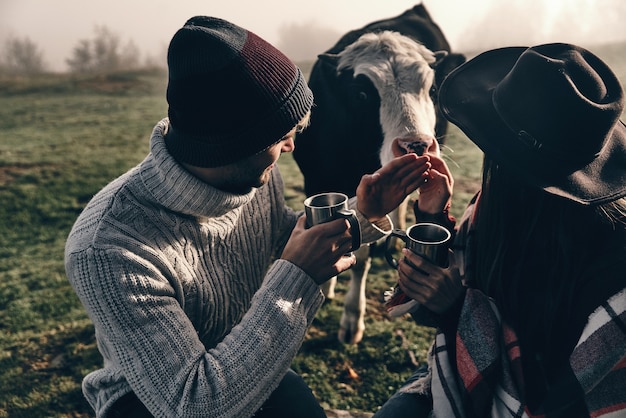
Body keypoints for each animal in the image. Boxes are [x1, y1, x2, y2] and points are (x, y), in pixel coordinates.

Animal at [292, 3, 464, 342]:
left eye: (431, 89)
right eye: (361, 94)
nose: (416, 146)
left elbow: (361, 258)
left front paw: (351, 320)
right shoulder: (315, 179)